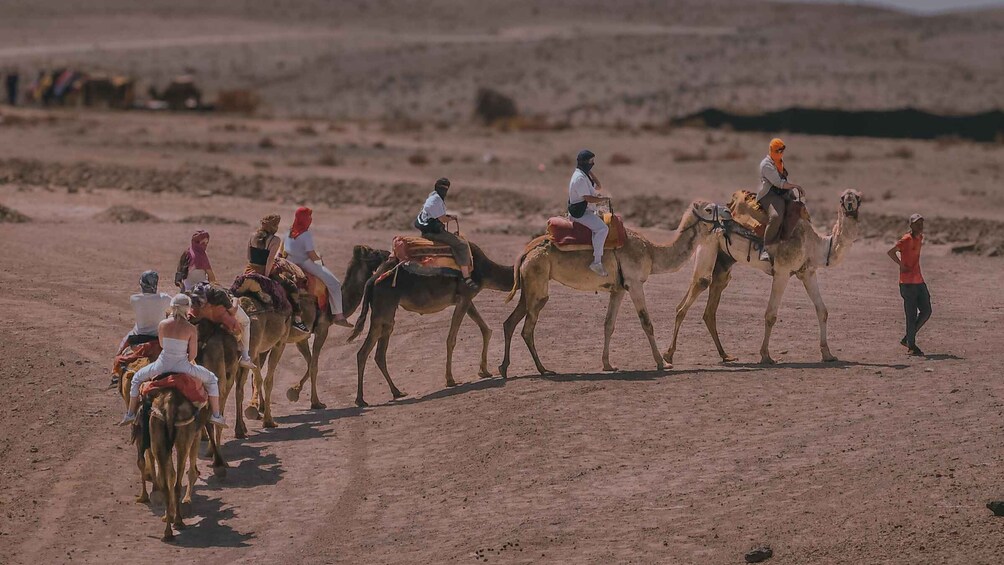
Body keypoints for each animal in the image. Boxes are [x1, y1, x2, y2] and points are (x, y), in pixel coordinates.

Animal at [346, 243, 513, 407]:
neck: (485, 270)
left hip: (384, 312)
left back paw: (392, 393)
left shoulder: (466, 299)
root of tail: (372, 279)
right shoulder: (465, 296)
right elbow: (451, 340)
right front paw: (450, 380)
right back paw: (365, 399)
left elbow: (486, 330)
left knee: (374, 353)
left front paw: (484, 371)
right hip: (384, 309)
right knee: (368, 351)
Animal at [498, 201, 721, 378]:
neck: (651, 251)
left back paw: (504, 368)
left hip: (529, 287)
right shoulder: (634, 283)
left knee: (510, 322)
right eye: (709, 209)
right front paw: (662, 362)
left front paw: (608, 365)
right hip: (538, 283)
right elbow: (647, 323)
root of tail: (527, 251)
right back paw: (543, 369)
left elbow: (608, 324)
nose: (726, 213)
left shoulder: (619, 289)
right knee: (527, 328)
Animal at [664, 189, 863, 365]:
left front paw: (828, 354)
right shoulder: (782, 272)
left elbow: (822, 311)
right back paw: (668, 355)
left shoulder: (807, 272)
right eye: (842, 198)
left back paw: (725, 355)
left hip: (723, 262)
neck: (815, 245)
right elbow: (771, 315)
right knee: (695, 291)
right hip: (708, 247)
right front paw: (766, 356)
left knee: (707, 306)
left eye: (858, 198)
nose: (849, 204)